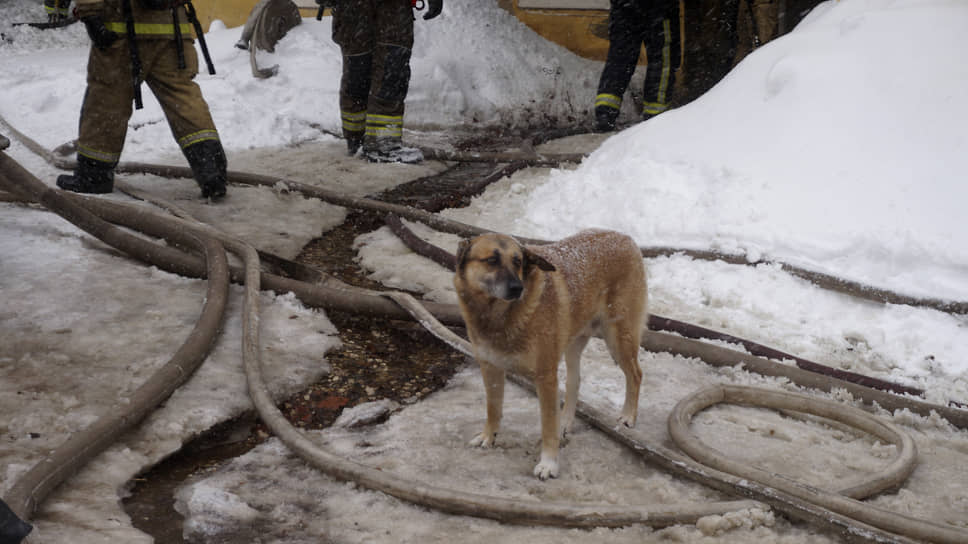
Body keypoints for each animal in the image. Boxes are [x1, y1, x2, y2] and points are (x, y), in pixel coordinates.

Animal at [456, 230, 652, 480]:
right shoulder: (490, 368)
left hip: (619, 337)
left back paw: (628, 416)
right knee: (574, 381)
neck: (499, 315)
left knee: (636, 374)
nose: (517, 288)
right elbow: (494, 408)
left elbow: (547, 426)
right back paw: (565, 421)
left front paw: (549, 463)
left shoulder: (545, 377)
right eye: (491, 260)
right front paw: (488, 436)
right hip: (573, 343)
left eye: (518, 261)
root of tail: (626, 238)